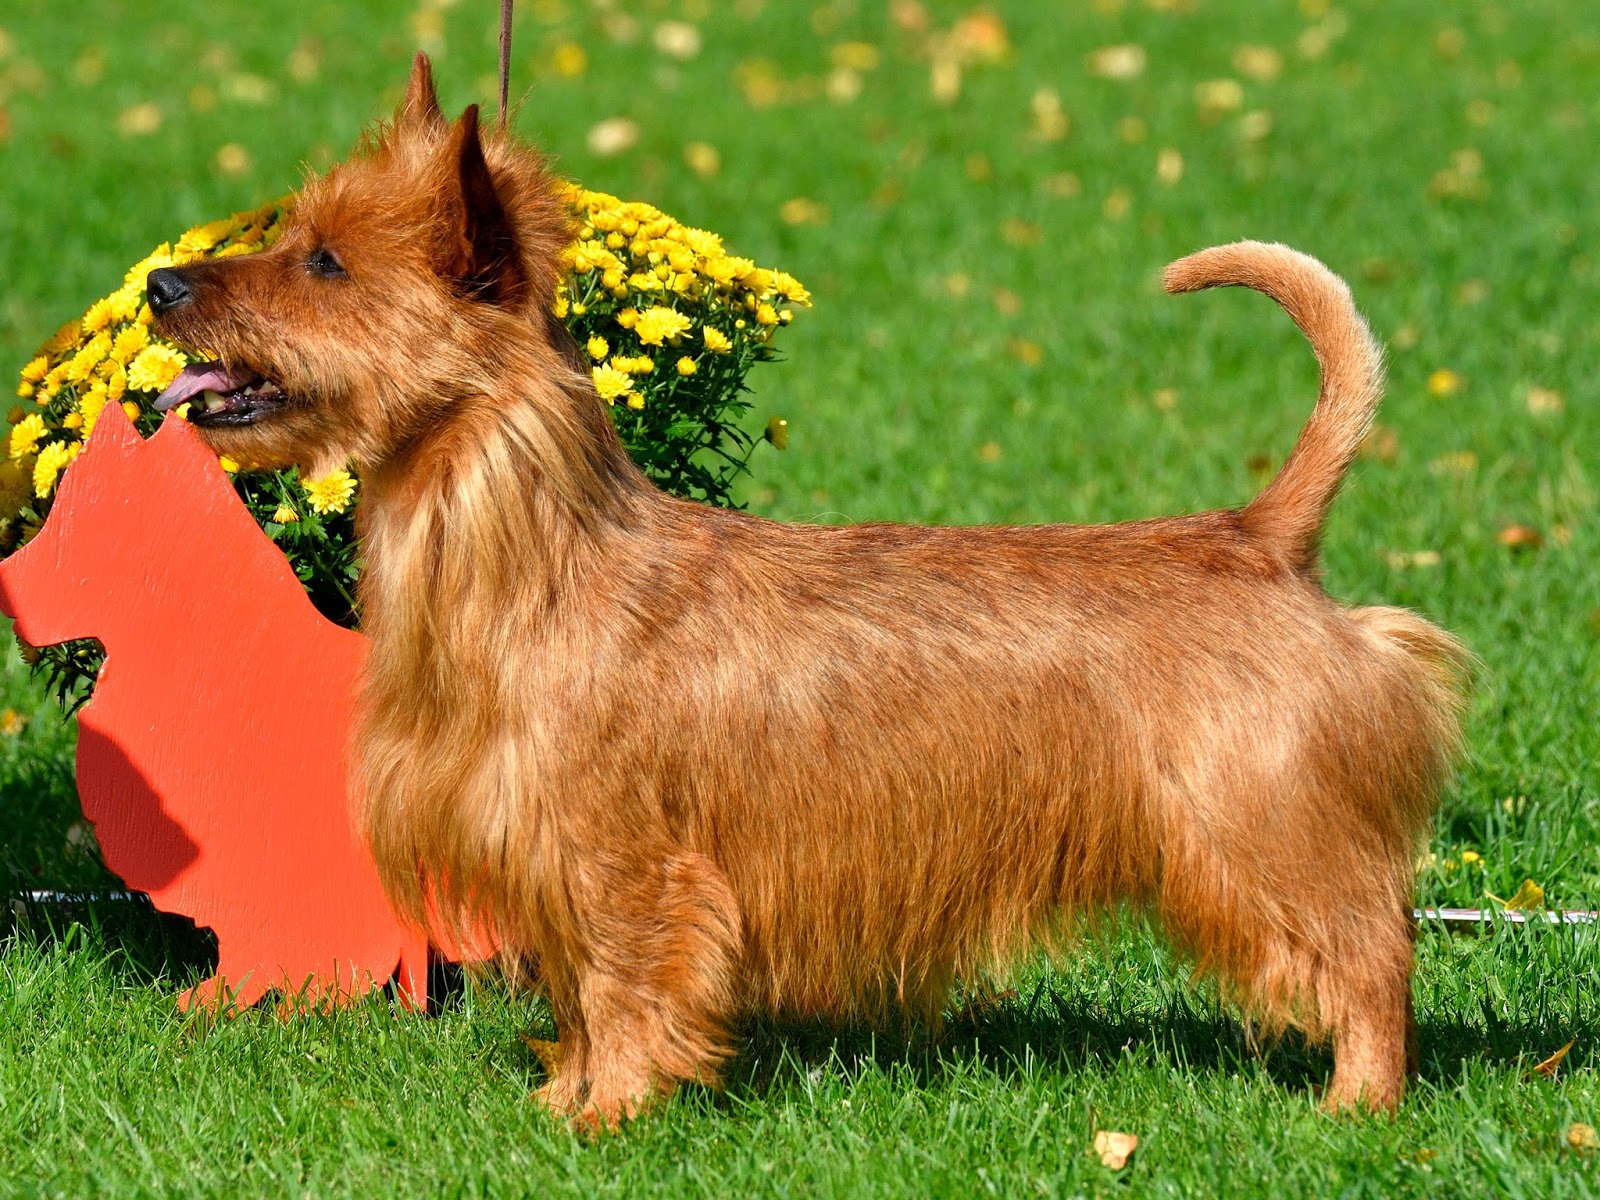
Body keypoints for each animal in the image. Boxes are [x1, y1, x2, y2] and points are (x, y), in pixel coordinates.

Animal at [147, 56, 1465, 1126]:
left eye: (324, 261)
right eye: (293, 232)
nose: (163, 285)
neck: (538, 569)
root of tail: (1261, 534)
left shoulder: (625, 862)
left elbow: (623, 984)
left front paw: (607, 1116)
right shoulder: (544, 856)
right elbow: (579, 993)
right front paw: (567, 1095)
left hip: (1261, 834)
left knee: (1371, 956)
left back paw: (1359, 1106)